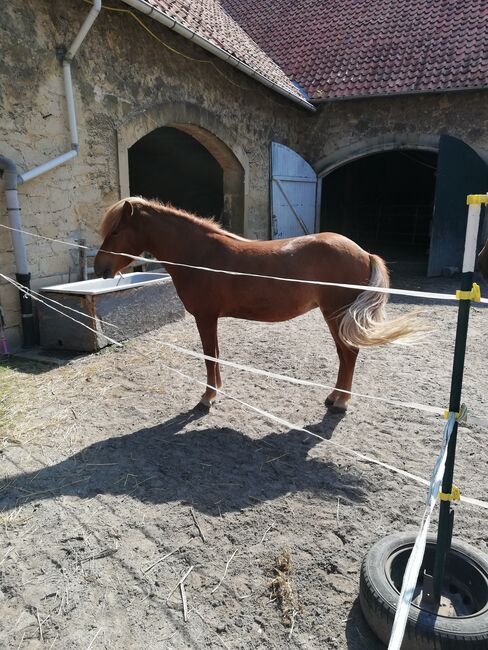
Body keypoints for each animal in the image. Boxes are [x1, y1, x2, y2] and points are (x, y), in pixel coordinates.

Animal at [94, 195, 420, 412]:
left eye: (116, 231)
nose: (99, 268)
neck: (200, 254)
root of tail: (363, 252)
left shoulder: (205, 317)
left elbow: (209, 356)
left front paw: (208, 397)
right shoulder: (210, 318)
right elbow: (215, 355)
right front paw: (215, 391)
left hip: (336, 315)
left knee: (349, 354)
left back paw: (340, 401)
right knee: (344, 355)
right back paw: (334, 397)